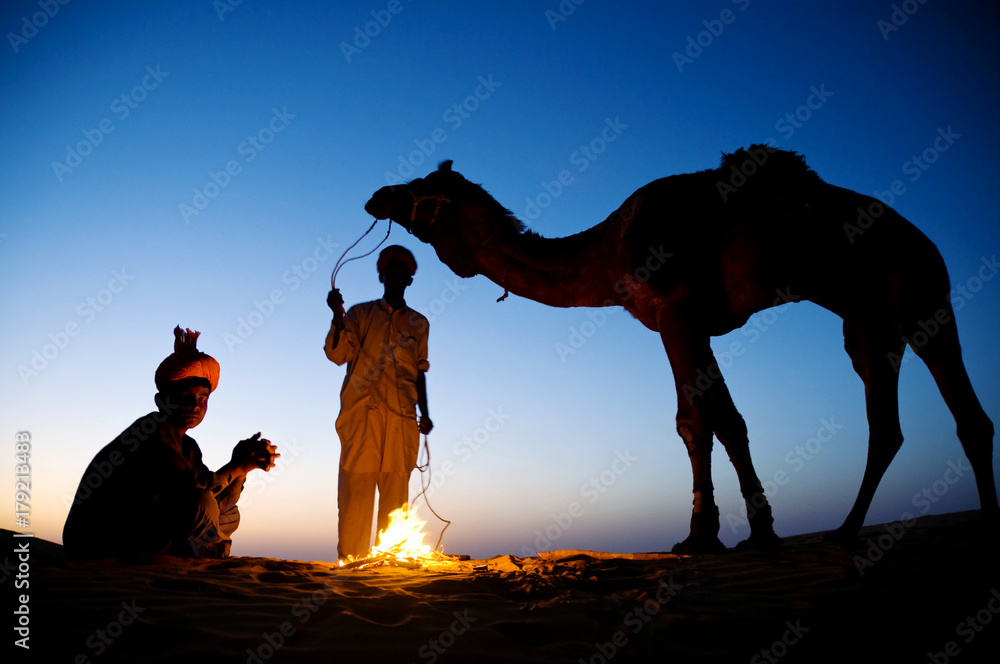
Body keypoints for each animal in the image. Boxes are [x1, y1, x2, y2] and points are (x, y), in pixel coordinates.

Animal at [364, 148, 996, 552]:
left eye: (421, 189)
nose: (375, 195)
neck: (608, 250)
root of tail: (922, 237)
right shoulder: (696, 325)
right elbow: (730, 421)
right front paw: (759, 532)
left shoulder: (675, 313)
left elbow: (692, 421)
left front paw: (699, 535)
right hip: (867, 326)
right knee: (886, 424)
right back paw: (843, 531)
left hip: (919, 291)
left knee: (968, 414)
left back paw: (984, 524)